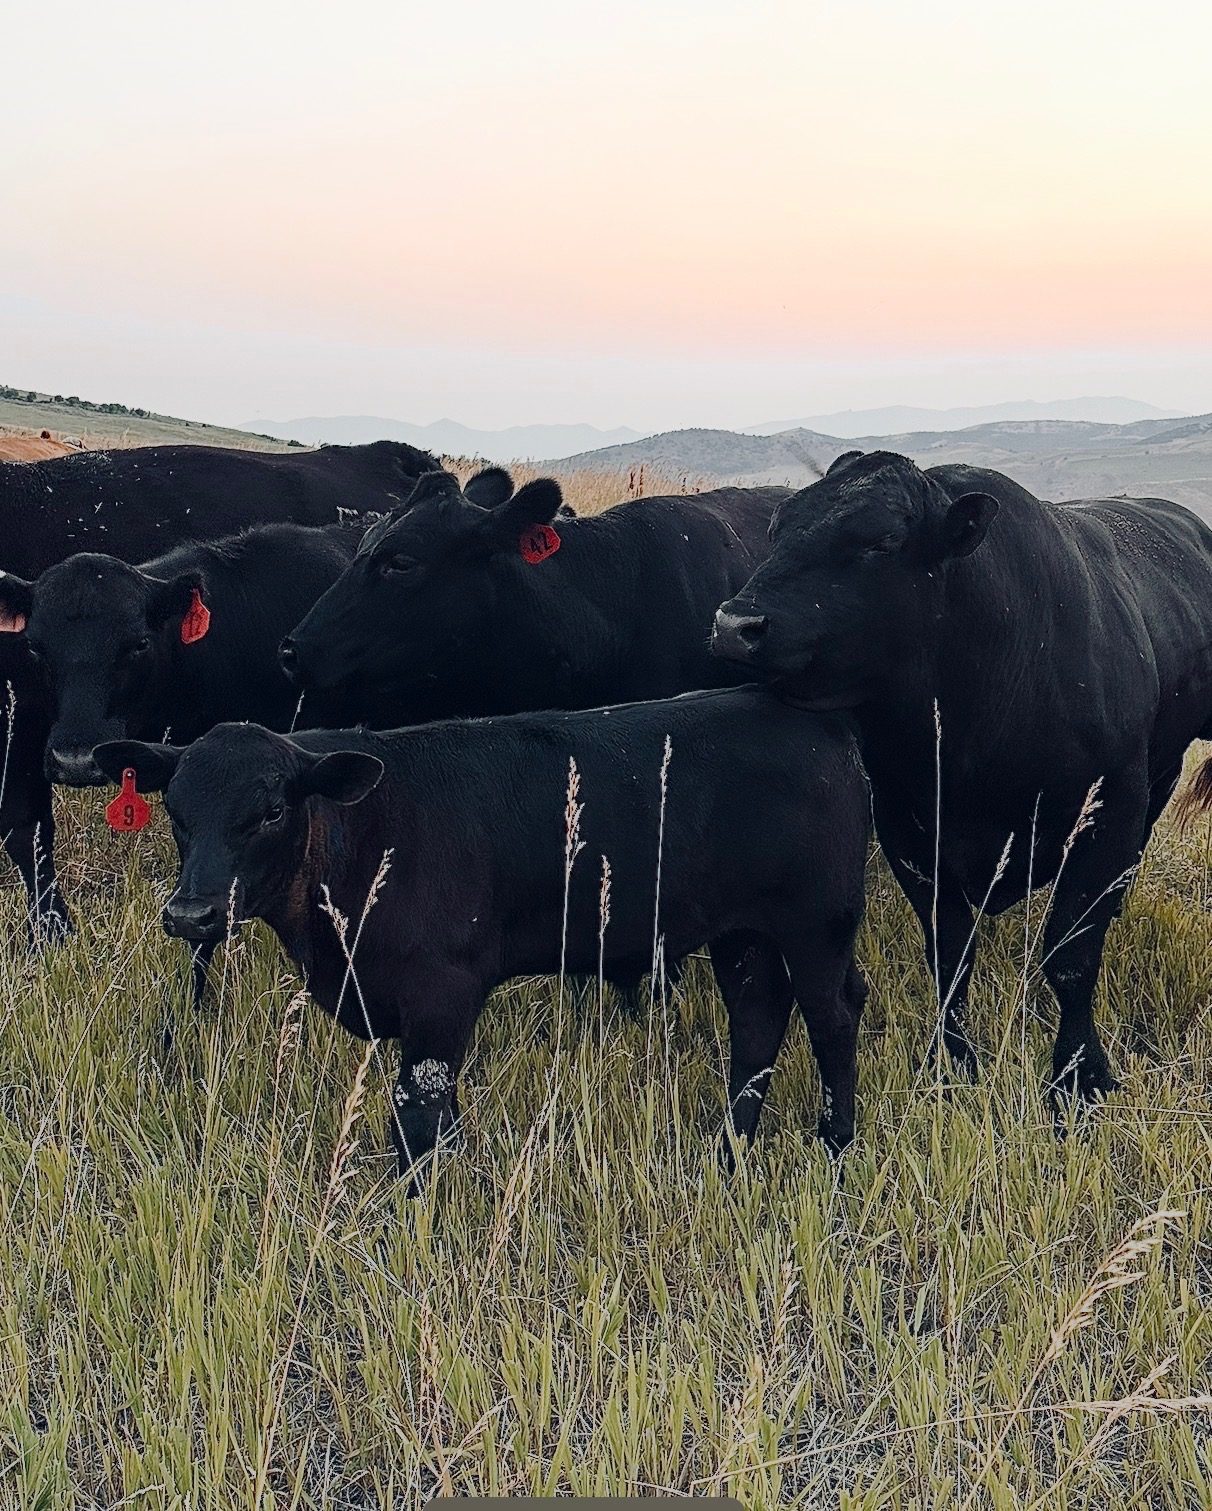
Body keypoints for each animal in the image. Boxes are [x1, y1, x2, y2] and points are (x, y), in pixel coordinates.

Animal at [92, 685, 871, 1190]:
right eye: (175, 810)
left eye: (271, 810)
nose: (190, 914)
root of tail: (820, 725)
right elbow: (437, 1117)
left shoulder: (442, 994)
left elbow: (417, 1113)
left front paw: (416, 1207)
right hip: (744, 931)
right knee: (758, 1018)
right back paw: (729, 1150)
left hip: (818, 923)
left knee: (832, 1015)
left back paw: (835, 1143)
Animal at [712, 449, 1212, 1104]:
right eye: (777, 528)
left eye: (882, 541)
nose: (733, 623)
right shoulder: (910, 831)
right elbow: (950, 954)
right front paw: (949, 1062)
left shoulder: (1109, 811)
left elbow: (1071, 955)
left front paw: (1080, 1075)